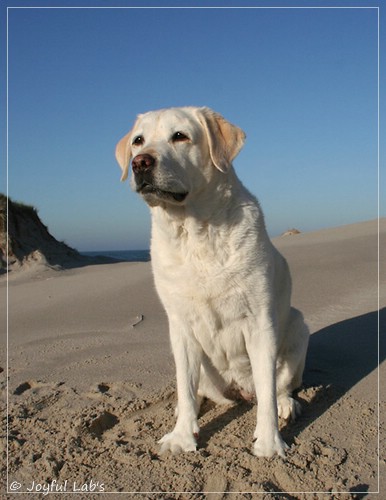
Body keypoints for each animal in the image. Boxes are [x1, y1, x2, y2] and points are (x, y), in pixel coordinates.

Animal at [116, 105, 310, 458]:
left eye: (180, 136)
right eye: (138, 141)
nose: (140, 163)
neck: (195, 233)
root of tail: (239, 390)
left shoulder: (259, 322)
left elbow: (268, 391)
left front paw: (269, 443)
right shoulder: (180, 325)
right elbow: (186, 386)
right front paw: (181, 438)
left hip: (299, 328)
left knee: (279, 387)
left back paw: (287, 405)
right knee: (195, 390)